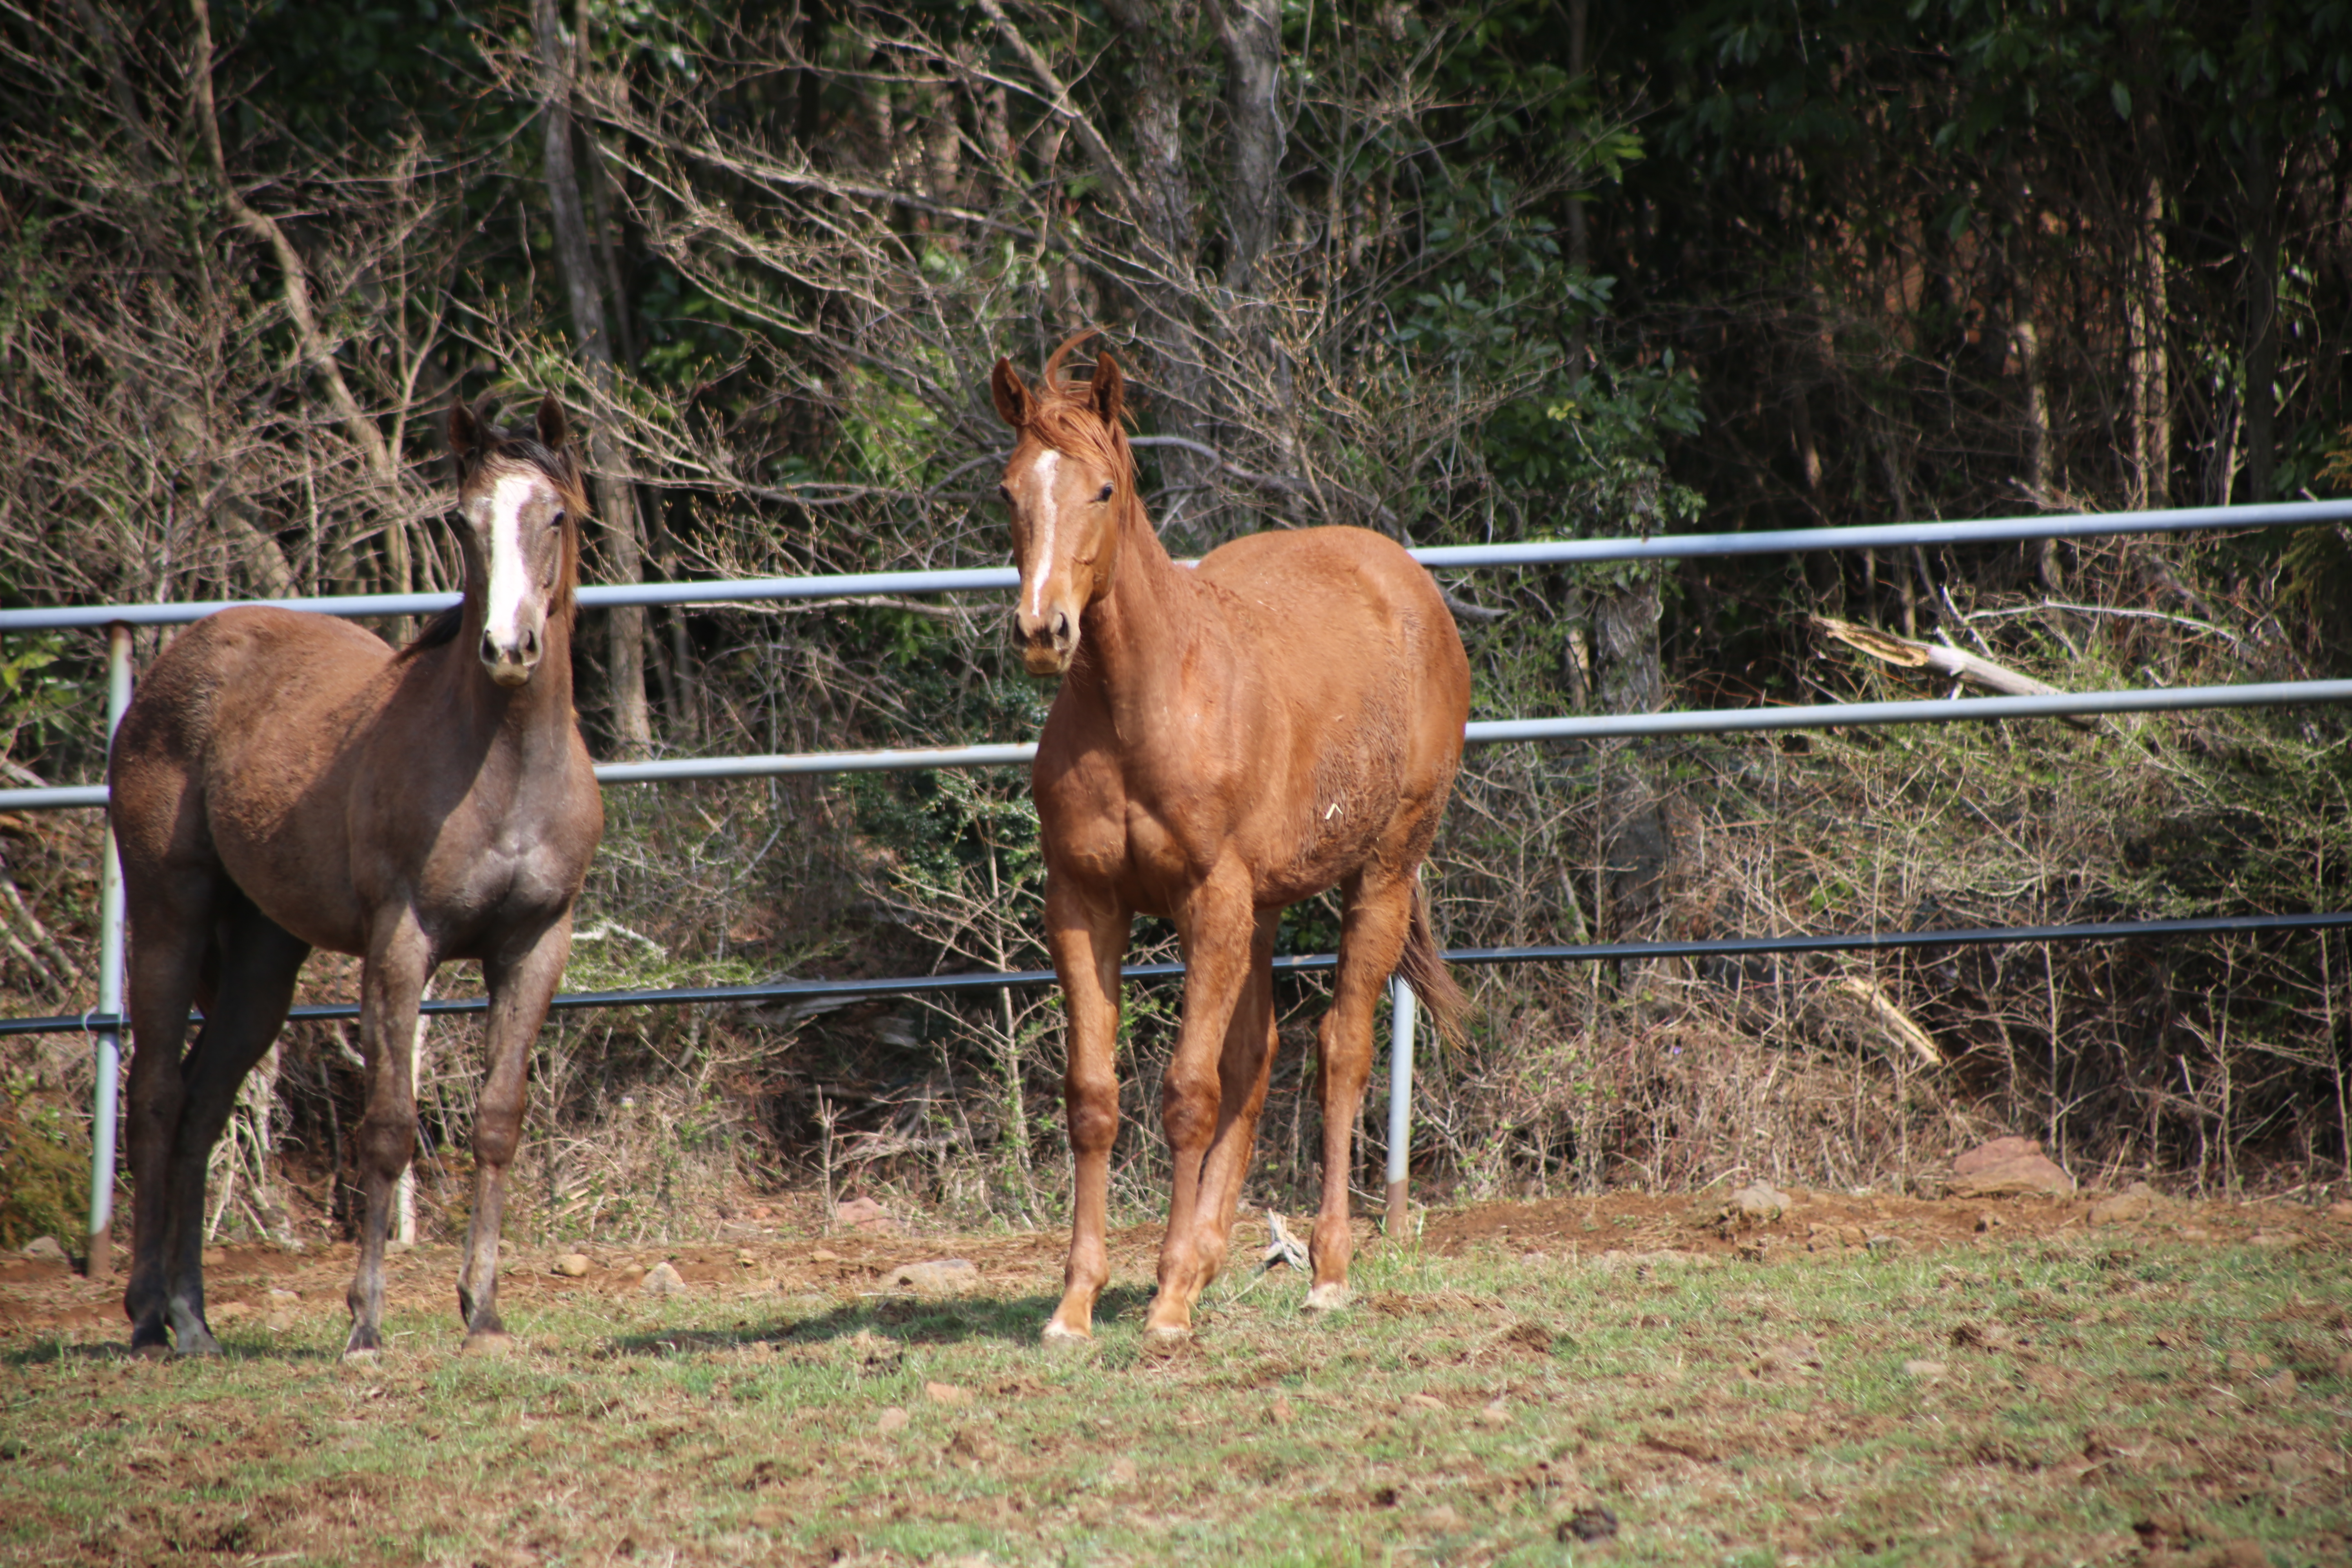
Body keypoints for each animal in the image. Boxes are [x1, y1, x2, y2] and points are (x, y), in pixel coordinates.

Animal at [112, 395, 607, 1363]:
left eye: (557, 517)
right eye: (464, 522)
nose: (508, 648)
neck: (505, 767)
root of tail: (183, 659)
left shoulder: (537, 944)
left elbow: (498, 1121)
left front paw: (483, 1313)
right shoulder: (401, 943)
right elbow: (387, 1128)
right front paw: (367, 1323)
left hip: (263, 958)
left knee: (201, 1105)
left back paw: (196, 1319)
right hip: (168, 915)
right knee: (155, 1095)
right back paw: (149, 1315)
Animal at [992, 339, 1468, 1345]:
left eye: (1102, 489)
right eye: (1010, 489)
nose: (1045, 630)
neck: (1143, 703)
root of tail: (1406, 581)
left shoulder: (1207, 897)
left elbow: (1188, 1095)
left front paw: (1168, 1300)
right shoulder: (1085, 903)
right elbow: (1096, 1099)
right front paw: (1077, 1304)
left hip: (1381, 873)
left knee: (1340, 1050)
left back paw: (1328, 1269)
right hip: (1264, 908)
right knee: (1260, 1054)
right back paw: (1216, 1256)